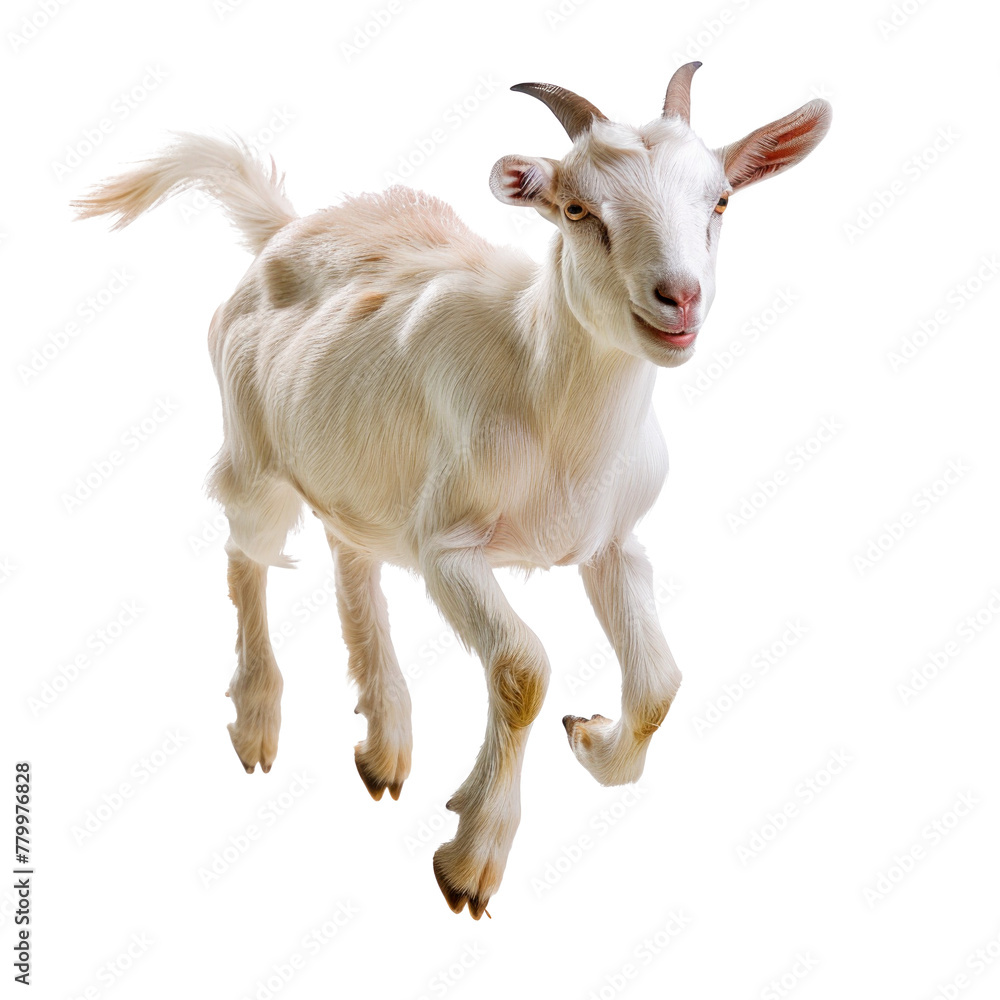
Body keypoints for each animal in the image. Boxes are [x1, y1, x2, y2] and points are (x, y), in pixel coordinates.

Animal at [72, 63, 831, 919]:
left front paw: (592, 741)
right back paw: (259, 722)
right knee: (247, 553)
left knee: (350, 558)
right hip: (255, 450)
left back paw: (384, 744)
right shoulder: (449, 549)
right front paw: (472, 859)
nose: (680, 298)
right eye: (578, 209)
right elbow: (524, 669)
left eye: (721, 200)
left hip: (357, 469)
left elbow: (660, 683)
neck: (543, 391)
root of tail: (284, 230)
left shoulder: (612, 541)